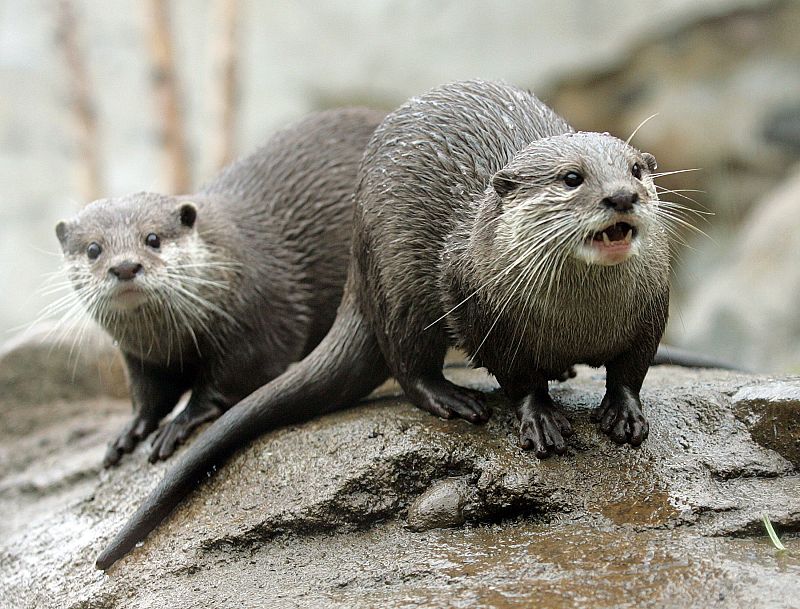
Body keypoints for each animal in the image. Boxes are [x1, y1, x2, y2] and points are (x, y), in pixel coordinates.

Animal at [56, 105, 384, 466]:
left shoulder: (260, 320)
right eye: (93, 249)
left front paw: (181, 422)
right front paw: (129, 430)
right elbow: (150, 395)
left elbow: (232, 379)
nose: (125, 266)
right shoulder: (140, 357)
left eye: (152, 238)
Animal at [95, 78, 680, 568]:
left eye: (636, 170)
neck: (580, 321)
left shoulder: (652, 308)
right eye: (571, 178)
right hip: (398, 283)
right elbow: (517, 377)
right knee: (406, 360)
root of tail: (357, 262)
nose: (621, 196)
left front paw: (624, 412)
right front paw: (539, 419)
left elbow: (631, 369)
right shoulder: (485, 313)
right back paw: (453, 399)